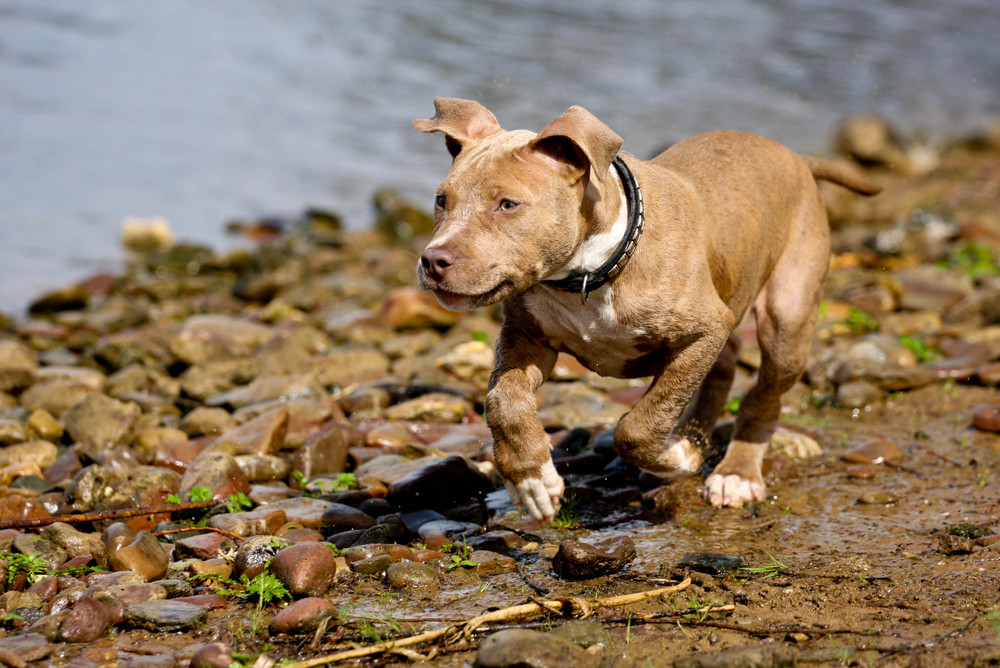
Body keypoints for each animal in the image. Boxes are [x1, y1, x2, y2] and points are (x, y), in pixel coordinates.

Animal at [410, 96, 880, 520]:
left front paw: (677, 458)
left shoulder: (706, 329)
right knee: (724, 368)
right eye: (441, 200)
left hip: (788, 314)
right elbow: (502, 402)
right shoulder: (528, 338)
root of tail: (795, 157)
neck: (589, 273)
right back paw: (696, 435)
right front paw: (532, 480)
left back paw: (736, 472)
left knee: (764, 394)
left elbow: (641, 424)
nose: (433, 260)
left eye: (507, 204)